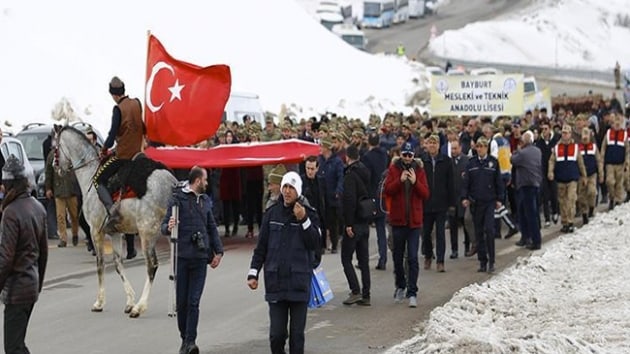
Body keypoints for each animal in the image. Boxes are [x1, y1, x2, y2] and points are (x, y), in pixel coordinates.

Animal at [55, 125, 177, 318]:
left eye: (55, 147)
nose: (56, 167)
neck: (90, 175)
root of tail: (170, 182)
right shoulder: (115, 233)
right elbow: (118, 264)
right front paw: (129, 301)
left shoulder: (96, 231)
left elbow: (100, 264)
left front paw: (99, 302)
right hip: (168, 229)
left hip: (147, 232)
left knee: (152, 265)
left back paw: (140, 307)